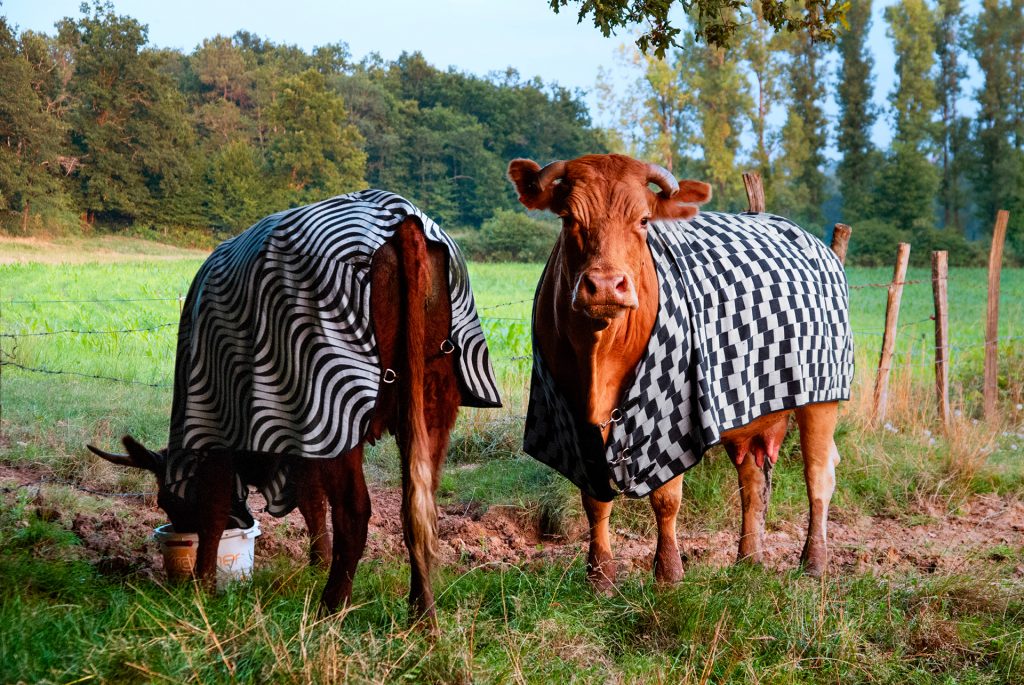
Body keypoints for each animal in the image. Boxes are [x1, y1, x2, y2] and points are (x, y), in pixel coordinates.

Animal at [91, 188, 499, 618]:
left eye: (166, 500)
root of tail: (401, 218)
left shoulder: (217, 425)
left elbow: (215, 509)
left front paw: (202, 586)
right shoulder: (302, 443)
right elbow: (312, 501)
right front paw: (316, 561)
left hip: (338, 403)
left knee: (355, 512)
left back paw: (331, 606)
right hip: (434, 400)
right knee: (419, 509)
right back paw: (420, 614)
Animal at [512, 153, 856, 589]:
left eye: (644, 220)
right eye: (568, 218)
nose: (605, 285)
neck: (600, 357)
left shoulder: (670, 416)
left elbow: (666, 498)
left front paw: (669, 573)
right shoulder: (575, 429)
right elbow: (595, 500)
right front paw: (600, 576)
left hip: (821, 395)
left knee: (818, 476)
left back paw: (813, 562)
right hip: (749, 412)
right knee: (752, 481)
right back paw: (748, 561)